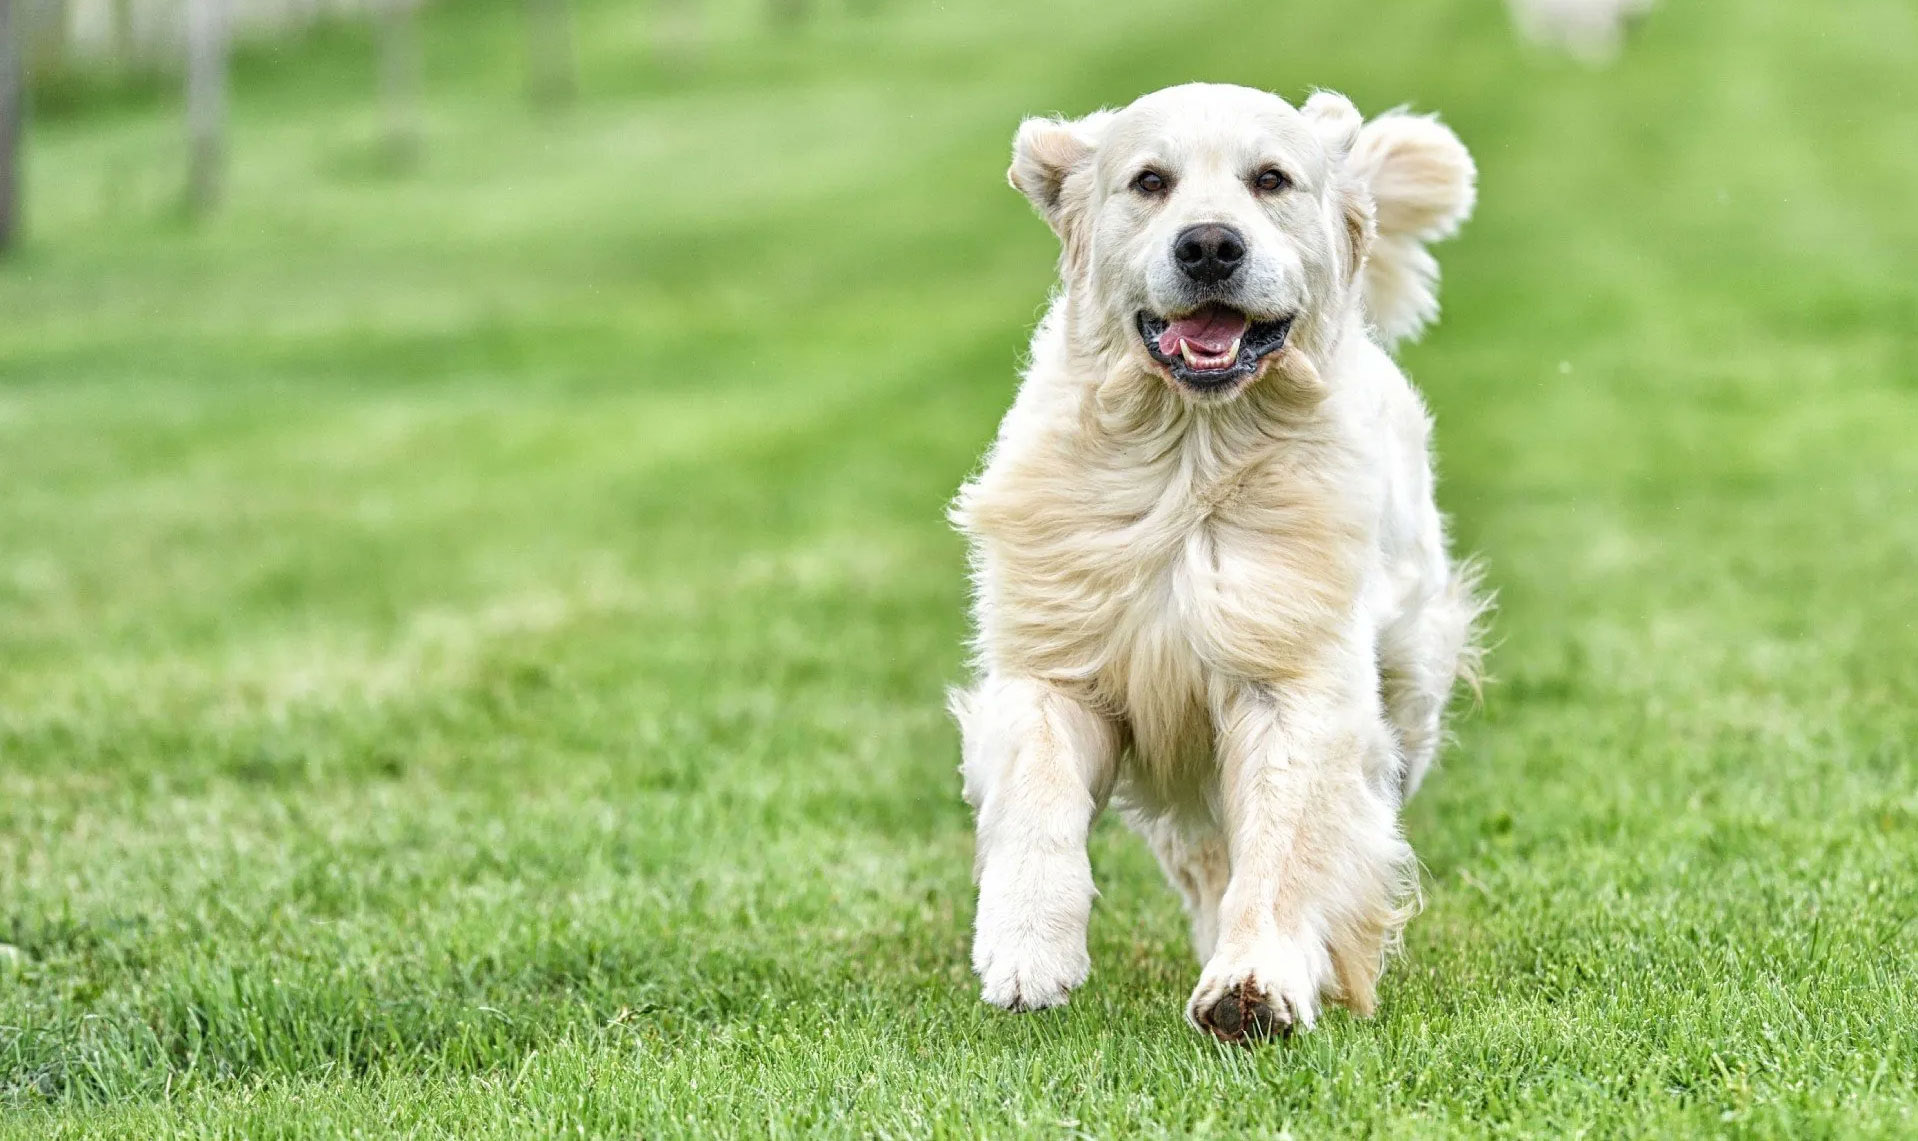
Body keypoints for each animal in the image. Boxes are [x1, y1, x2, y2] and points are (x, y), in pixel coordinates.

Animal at [951, 82, 1488, 1043]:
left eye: (1270, 179)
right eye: (1149, 181)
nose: (1208, 245)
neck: (1188, 456)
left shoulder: (1292, 680)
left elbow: (1282, 843)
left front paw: (1255, 982)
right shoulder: (1056, 661)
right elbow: (1038, 801)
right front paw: (1027, 952)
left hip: (1412, 673)